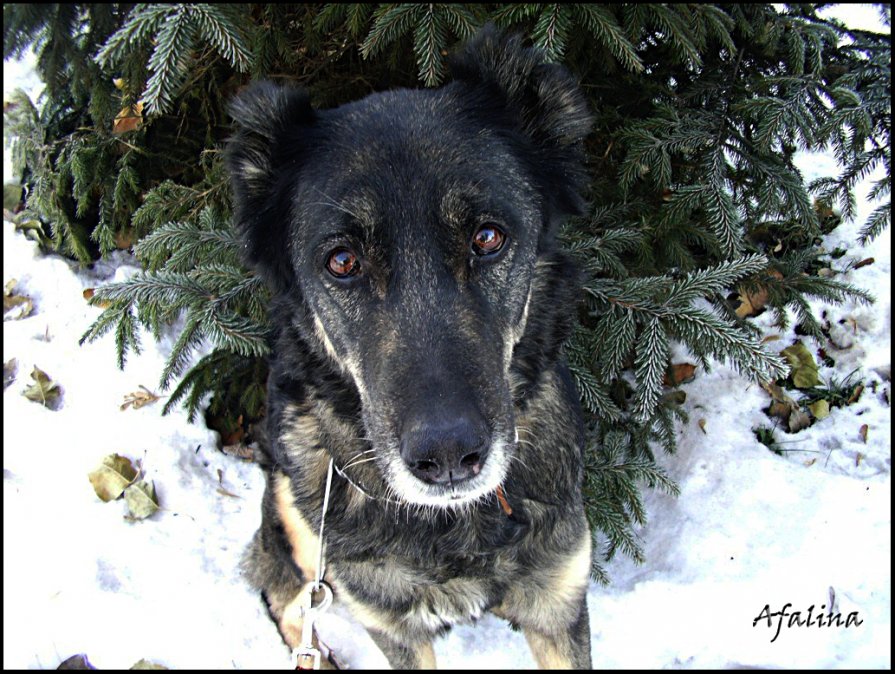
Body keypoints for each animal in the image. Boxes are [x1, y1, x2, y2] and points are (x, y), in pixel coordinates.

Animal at [226, 25, 596, 668]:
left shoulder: (558, 603)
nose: (447, 456)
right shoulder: (392, 626)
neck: (459, 524)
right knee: (287, 595)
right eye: (342, 262)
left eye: (488, 237)